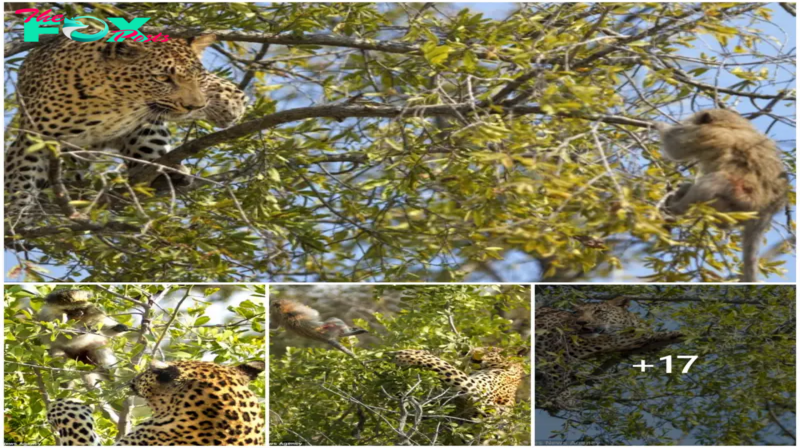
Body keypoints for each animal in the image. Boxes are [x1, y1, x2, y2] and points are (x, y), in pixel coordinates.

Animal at [4, 32, 247, 229]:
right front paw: (15, 219)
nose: (194, 106)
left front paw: (229, 102)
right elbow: (20, 179)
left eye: (197, 76)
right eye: (163, 77)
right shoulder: (32, 139)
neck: (116, 102)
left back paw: (168, 173)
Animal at [536, 298, 684, 412]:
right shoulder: (558, 351)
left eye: (598, 312)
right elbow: (558, 376)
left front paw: (674, 334)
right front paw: (561, 398)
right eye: (578, 313)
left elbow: (652, 339)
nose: (581, 322)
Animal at [652, 108, 792, 282]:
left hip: (741, 199)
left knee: (715, 180)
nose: (685, 123)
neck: (732, 125)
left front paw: (659, 125)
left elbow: (675, 148)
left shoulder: (705, 133)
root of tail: (765, 211)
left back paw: (675, 209)